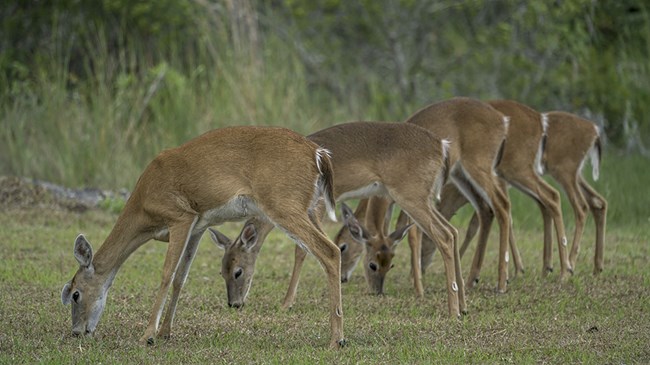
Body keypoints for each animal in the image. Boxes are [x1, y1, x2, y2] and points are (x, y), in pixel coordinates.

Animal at [58, 126, 346, 348]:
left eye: (75, 294)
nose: (77, 331)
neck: (144, 207)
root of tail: (318, 154)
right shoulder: (197, 226)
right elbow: (180, 278)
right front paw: (165, 332)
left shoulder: (180, 216)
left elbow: (166, 275)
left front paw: (148, 335)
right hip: (308, 208)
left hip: (283, 205)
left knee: (330, 250)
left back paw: (337, 340)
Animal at [208, 121, 466, 318]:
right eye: (221, 271)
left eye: (238, 271)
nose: (234, 303)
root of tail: (441, 146)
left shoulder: (317, 207)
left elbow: (303, 251)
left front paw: (286, 303)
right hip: (420, 198)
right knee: (452, 231)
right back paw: (463, 306)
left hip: (410, 195)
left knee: (444, 235)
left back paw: (453, 311)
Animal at [454, 109, 604, 274]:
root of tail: (595, 131)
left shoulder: (499, 182)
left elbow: (482, 220)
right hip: (574, 175)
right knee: (597, 201)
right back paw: (594, 267)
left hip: (562, 171)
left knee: (577, 205)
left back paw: (567, 267)